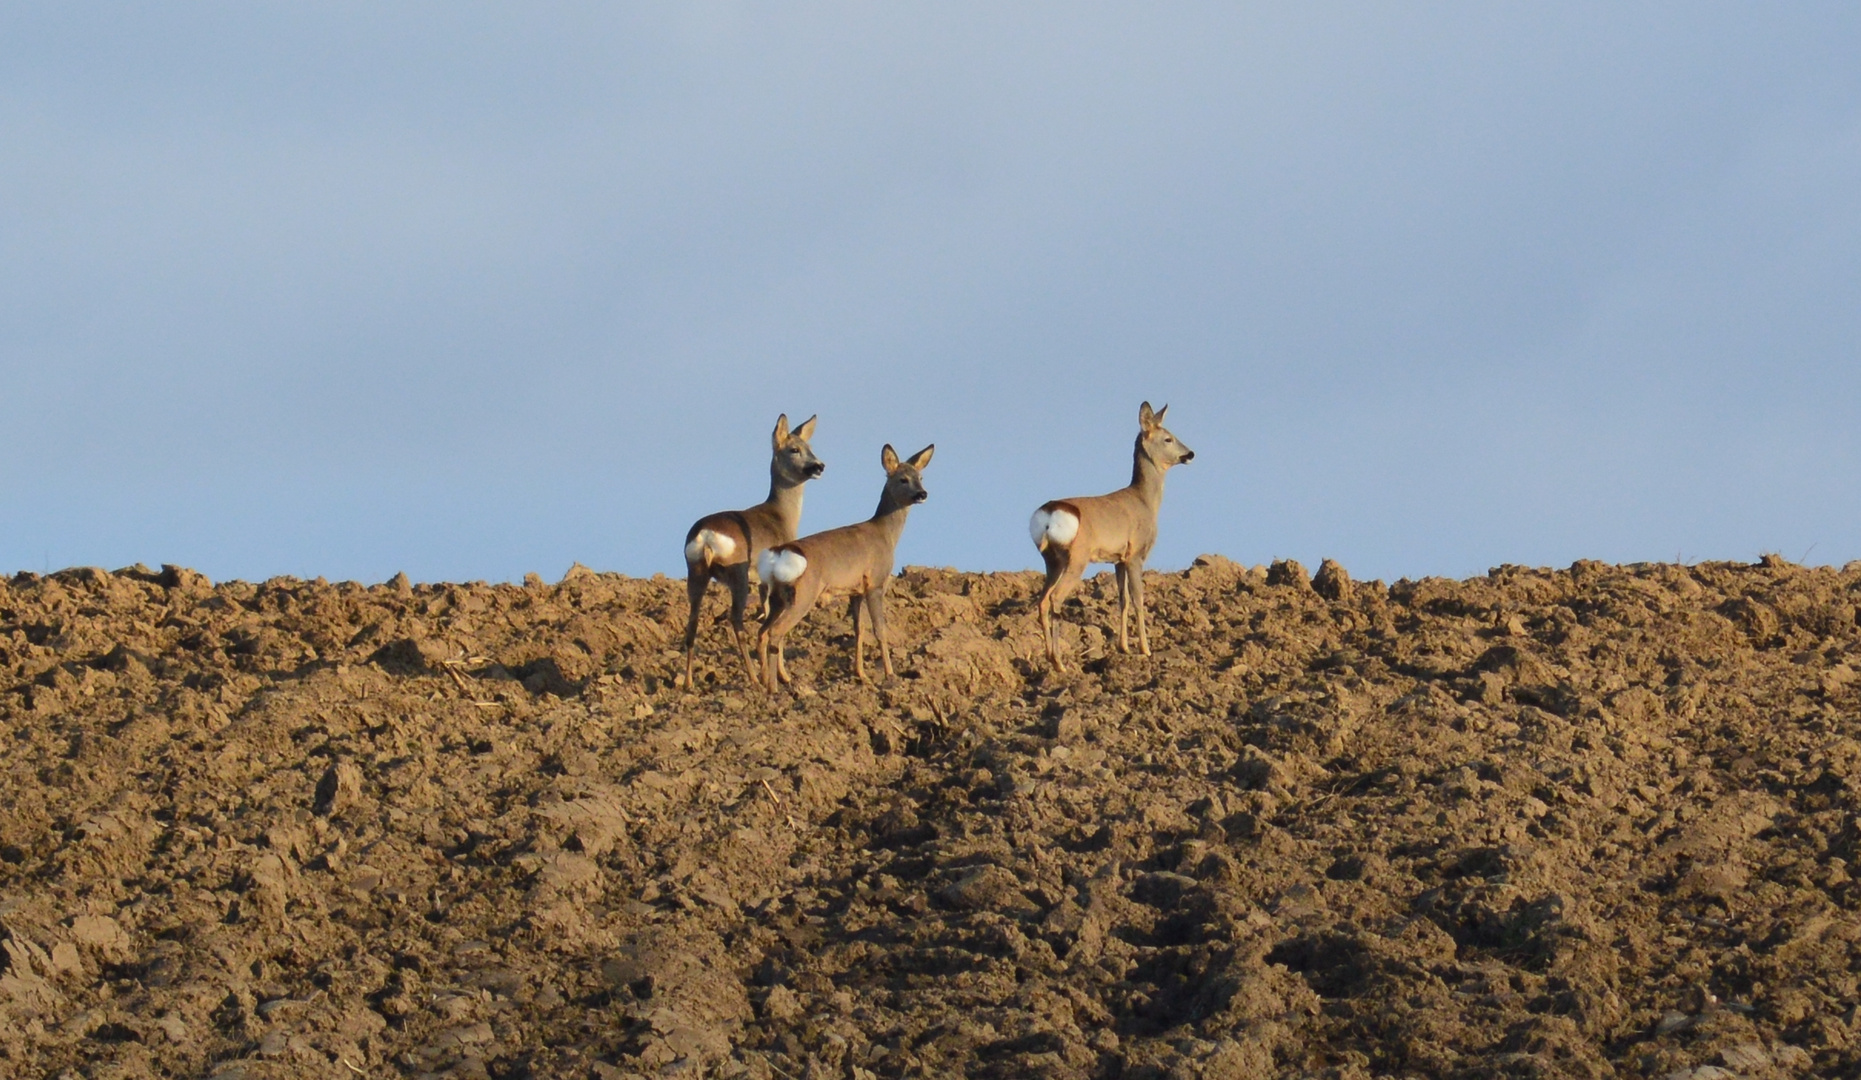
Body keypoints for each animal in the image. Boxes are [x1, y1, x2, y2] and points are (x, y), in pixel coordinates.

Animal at [684, 413, 822, 685]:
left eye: (811, 447)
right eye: (794, 449)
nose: (819, 466)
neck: (781, 516)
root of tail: (706, 536)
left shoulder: (762, 582)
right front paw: (782, 676)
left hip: (696, 572)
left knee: (692, 621)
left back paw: (686, 682)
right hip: (737, 573)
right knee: (735, 618)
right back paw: (754, 680)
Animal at [751, 445, 930, 692]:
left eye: (920, 477)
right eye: (903, 479)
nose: (922, 494)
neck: (886, 535)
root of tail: (778, 554)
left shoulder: (855, 591)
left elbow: (859, 629)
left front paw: (862, 675)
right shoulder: (875, 582)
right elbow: (880, 629)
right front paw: (890, 674)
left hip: (778, 597)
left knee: (762, 631)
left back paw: (764, 681)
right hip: (803, 594)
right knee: (775, 632)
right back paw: (774, 687)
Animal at [1027, 400, 1198, 666]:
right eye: (1168, 438)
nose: (1190, 454)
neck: (1145, 501)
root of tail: (1049, 513)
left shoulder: (1118, 559)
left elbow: (1122, 599)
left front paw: (1124, 647)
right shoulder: (1136, 554)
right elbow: (1138, 599)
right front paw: (1145, 649)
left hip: (1052, 560)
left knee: (1043, 600)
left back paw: (1050, 658)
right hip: (1077, 557)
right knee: (1055, 598)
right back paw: (1059, 662)